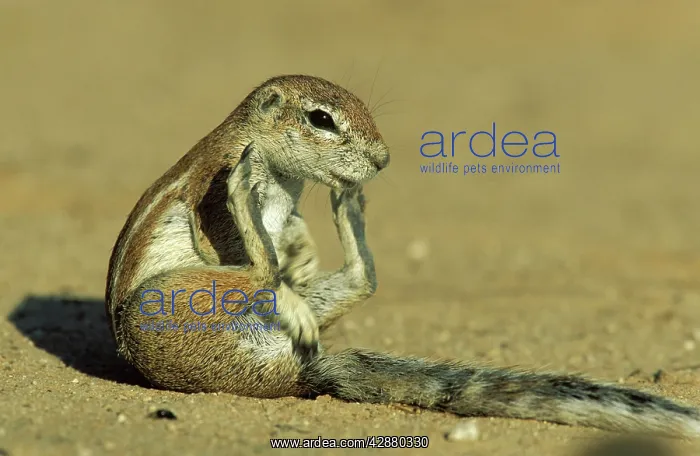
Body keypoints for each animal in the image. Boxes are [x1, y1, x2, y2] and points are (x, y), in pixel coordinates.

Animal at [105, 74, 700, 438]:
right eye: (321, 119)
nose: (383, 160)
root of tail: (294, 375)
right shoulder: (218, 180)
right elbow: (226, 233)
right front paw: (276, 243)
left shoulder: (288, 205)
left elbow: (293, 233)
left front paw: (304, 254)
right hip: (170, 302)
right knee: (256, 272)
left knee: (359, 279)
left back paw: (347, 212)